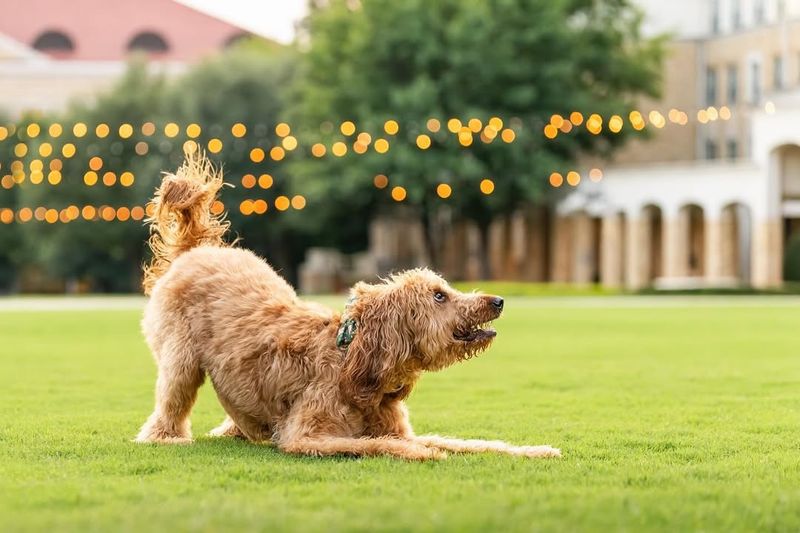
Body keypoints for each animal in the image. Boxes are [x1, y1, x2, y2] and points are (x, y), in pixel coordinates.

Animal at [136, 152, 564, 460]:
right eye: (439, 295)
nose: (498, 300)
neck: (353, 360)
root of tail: (196, 249)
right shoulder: (306, 437)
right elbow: (380, 444)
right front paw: (422, 453)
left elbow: (470, 442)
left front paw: (535, 450)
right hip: (180, 363)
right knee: (168, 409)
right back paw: (168, 438)